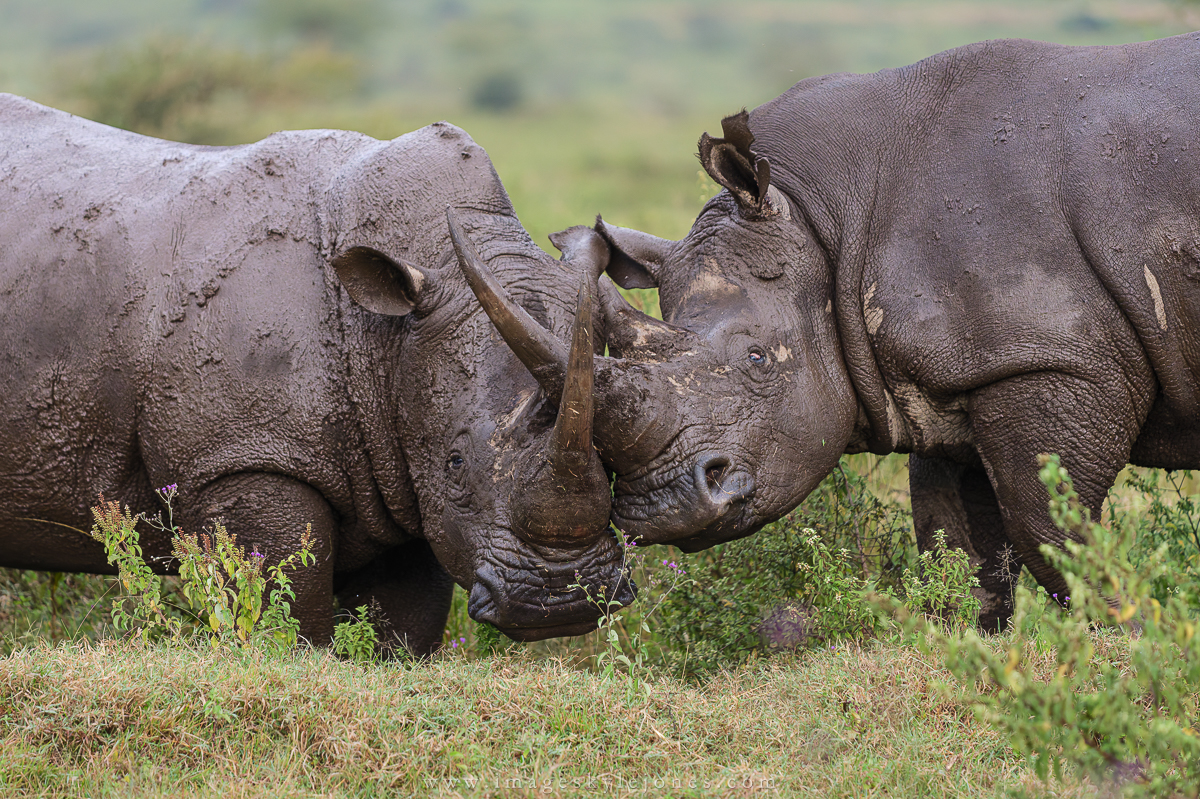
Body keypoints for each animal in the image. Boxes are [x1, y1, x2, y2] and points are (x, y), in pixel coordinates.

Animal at [0, 93, 630, 653]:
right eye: (454, 463)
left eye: (617, 463)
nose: (561, 604)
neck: (386, 336)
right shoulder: (244, 456)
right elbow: (286, 611)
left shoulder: (406, 476)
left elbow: (404, 629)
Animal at [588, 33, 1200, 629]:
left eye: (758, 358)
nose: (659, 508)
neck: (824, 212)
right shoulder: (964, 372)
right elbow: (956, 546)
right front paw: (970, 645)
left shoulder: (1050, 360)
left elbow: (1055, 534)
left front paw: (1138, 632)